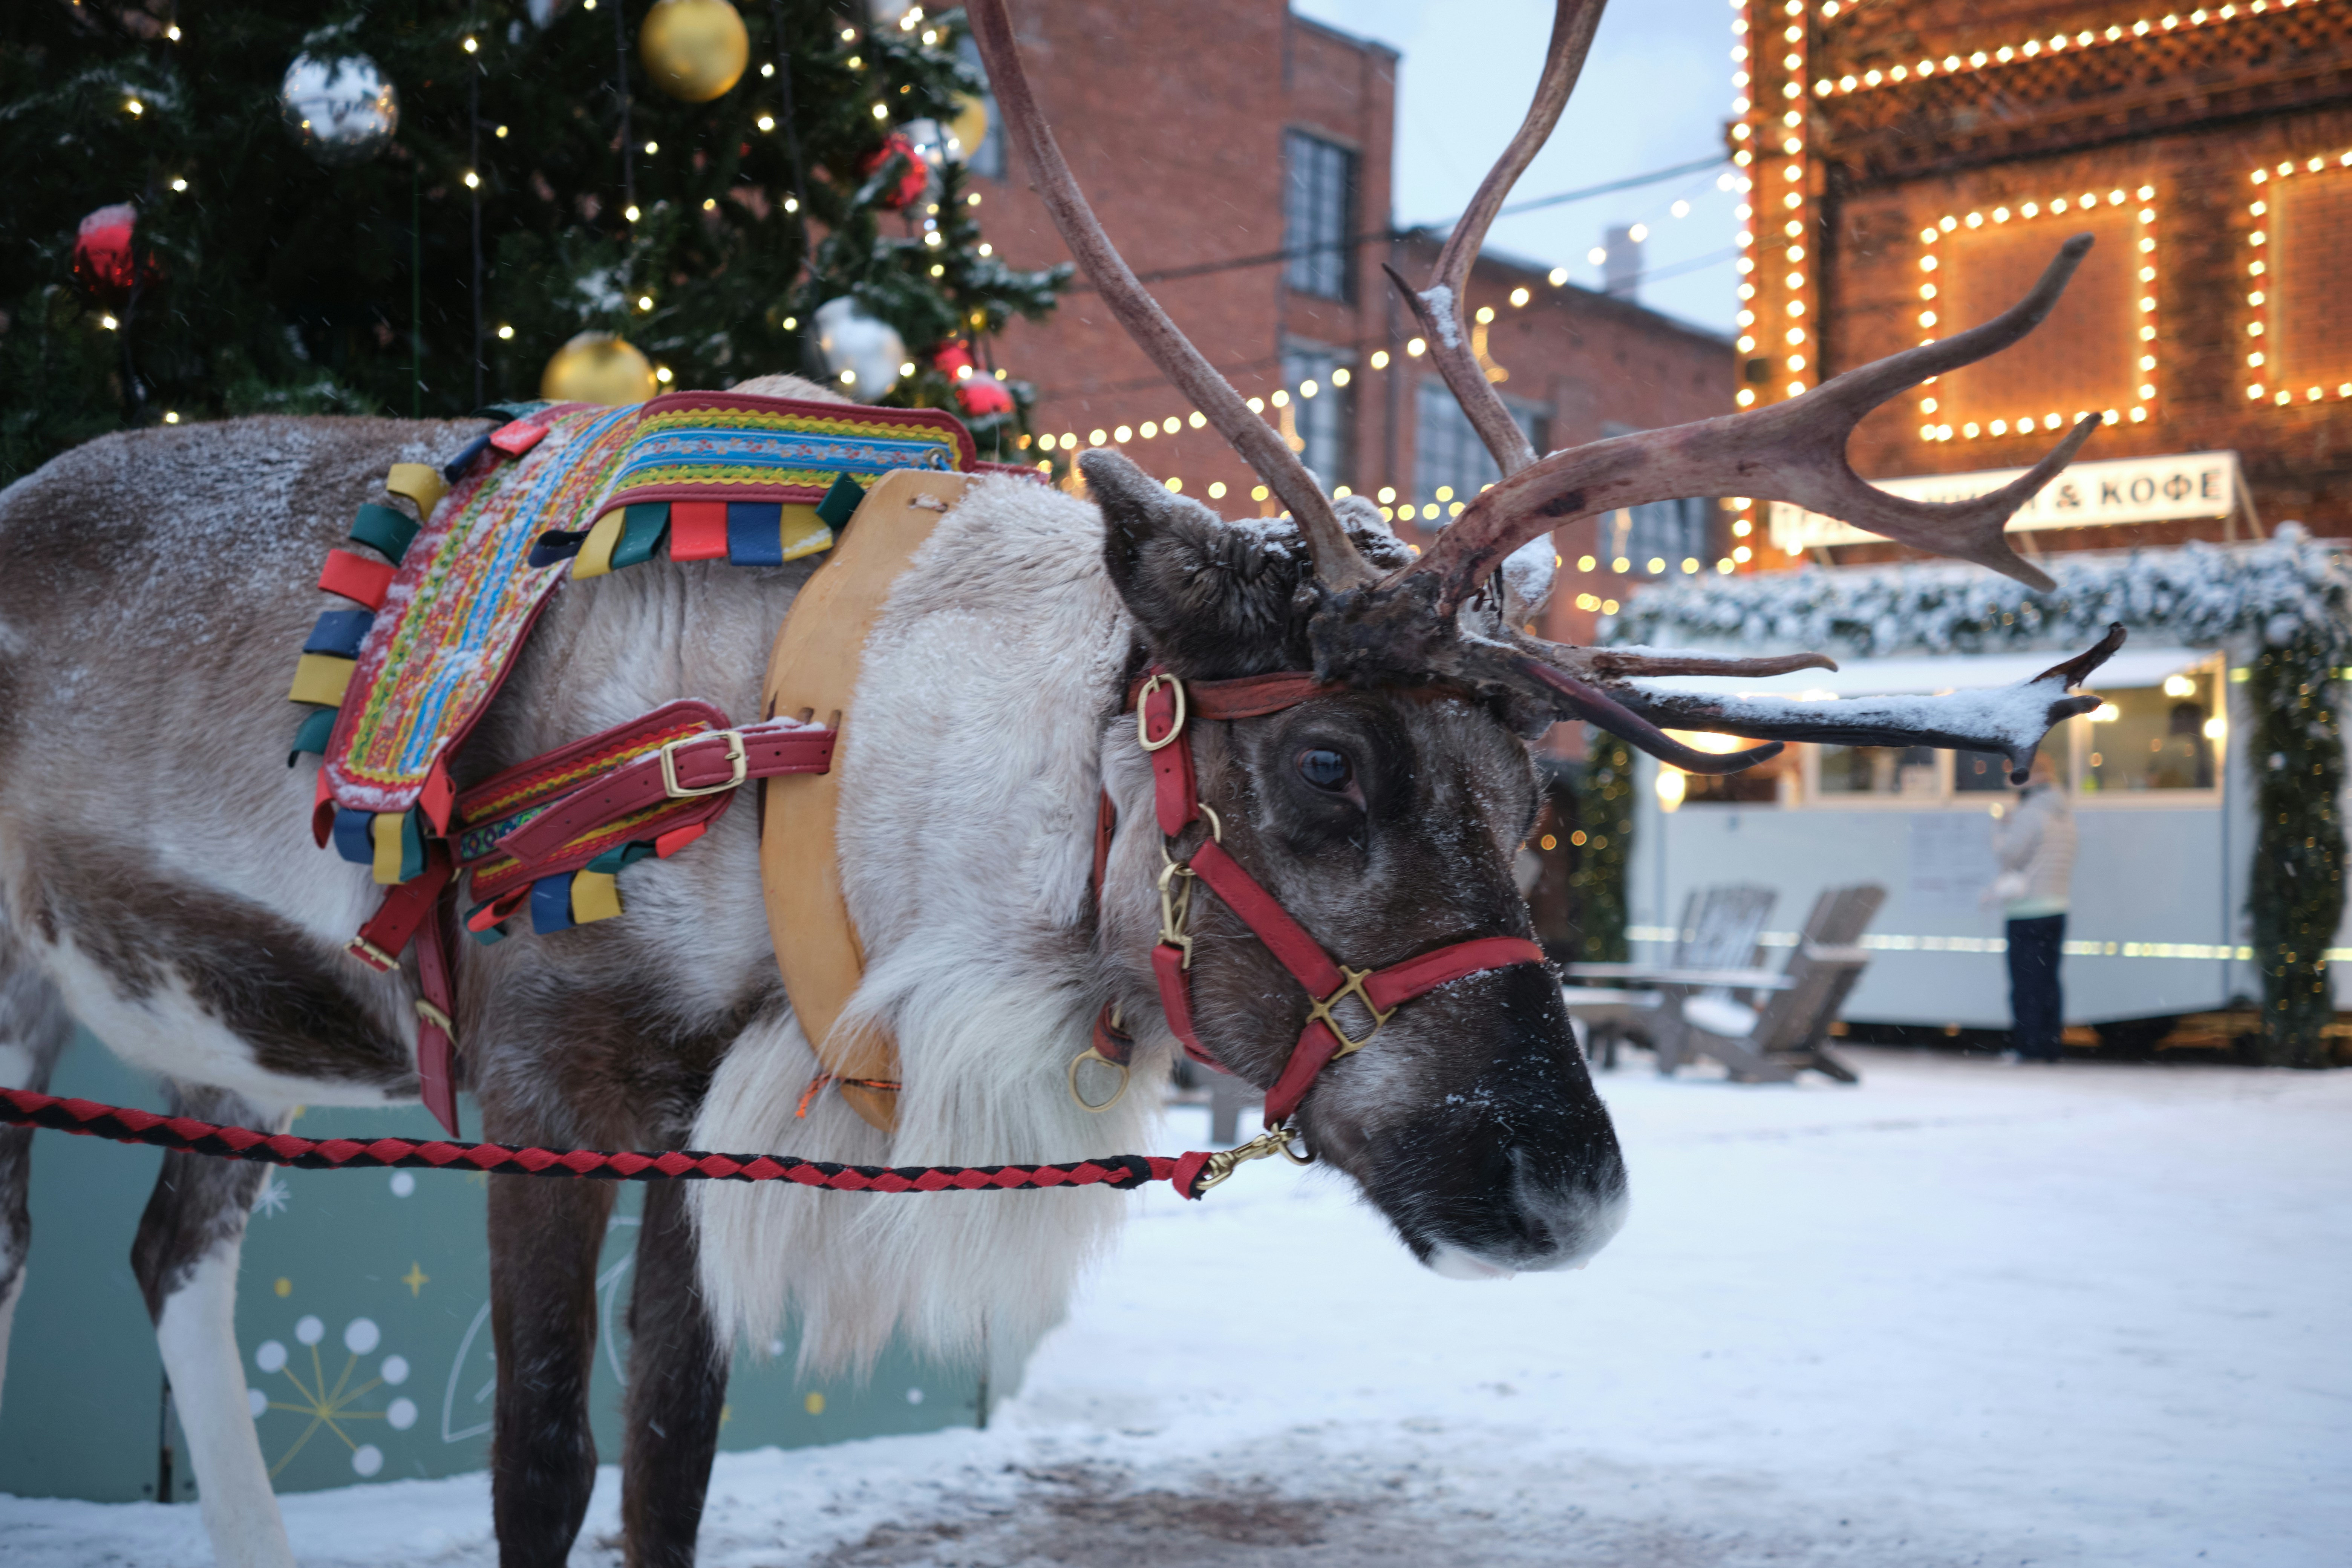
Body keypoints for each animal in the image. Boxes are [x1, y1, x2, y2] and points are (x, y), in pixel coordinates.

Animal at [0, 2, 2116, 1564]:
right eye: (1328, 759)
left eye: (1543, 807)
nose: (1569, 1188)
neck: (834, 766)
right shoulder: (545, 1089)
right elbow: (543, 1465)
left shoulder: (701, 1124)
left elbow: (672, 1453)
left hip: (226, 1044)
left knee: (169, 1254)